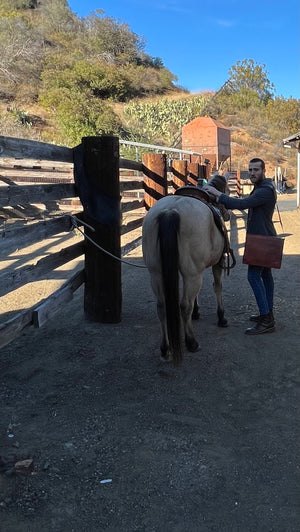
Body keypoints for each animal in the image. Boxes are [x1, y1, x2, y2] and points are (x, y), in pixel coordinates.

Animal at [142, 175, 233, 366]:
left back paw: (165, 349)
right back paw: (191, 342)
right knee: (184, 305)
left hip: (156, 273)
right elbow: (217, 287)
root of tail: (170, 211)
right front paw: (221, 317)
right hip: (193, 274)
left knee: (161, 306)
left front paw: (197, 312)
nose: (227, 215)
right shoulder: (217, 263)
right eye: (227, 191)